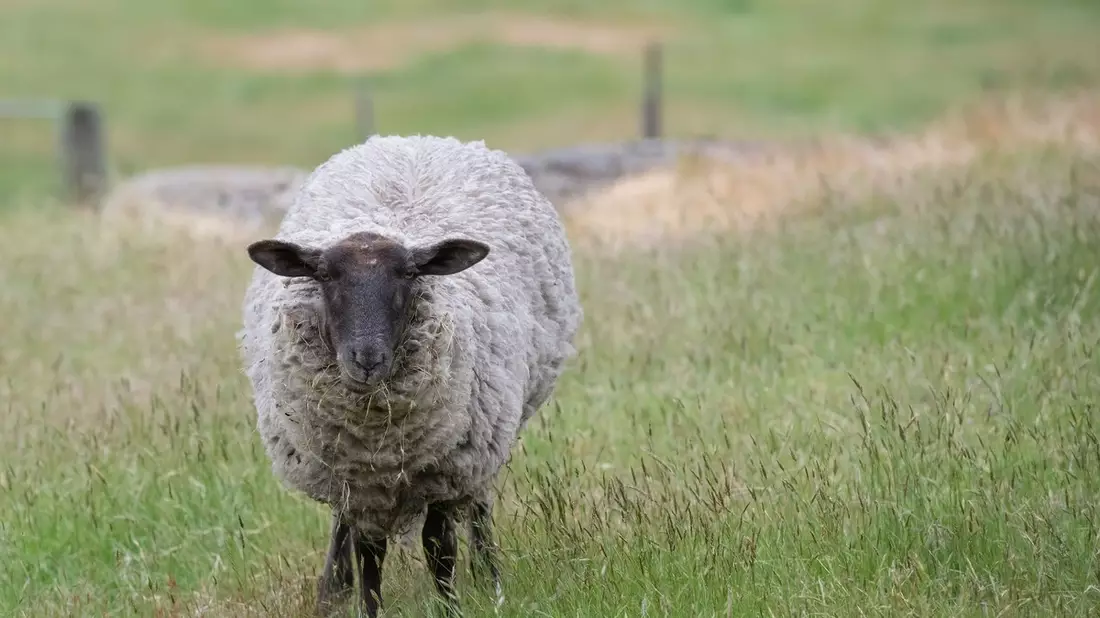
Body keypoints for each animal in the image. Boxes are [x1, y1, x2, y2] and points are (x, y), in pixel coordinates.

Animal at [237, 135, 582, 616]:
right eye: (324, 275)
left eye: (408, 273)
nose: (366, 357)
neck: (377, 436)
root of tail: (417, 139)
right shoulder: (357, 477)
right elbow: (369, 552)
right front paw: (363, 605)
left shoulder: (444, 468)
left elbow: (440, 548)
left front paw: (452, 605)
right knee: (344, 528)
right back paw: (333, 590)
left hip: (486, 434)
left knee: (477, 505)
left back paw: (490, 577)